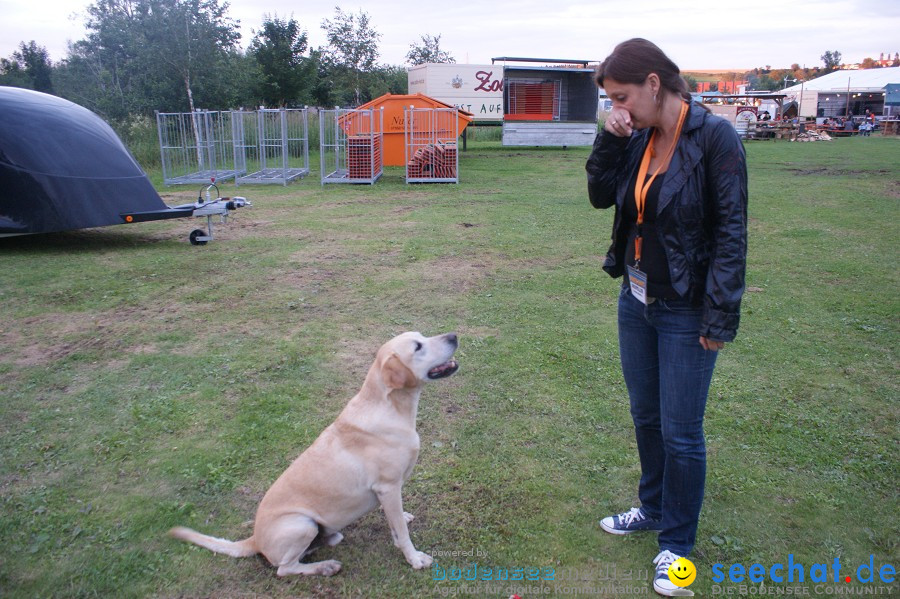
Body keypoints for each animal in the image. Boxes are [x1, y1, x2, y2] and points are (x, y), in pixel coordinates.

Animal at [170, 332, 460, 576]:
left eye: (423, 335)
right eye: (418, 347)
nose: (454, 335)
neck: (389, 407)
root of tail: (254, 539)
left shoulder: (388, 491)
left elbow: (397, 523)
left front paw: (404, 520)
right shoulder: (387, 487)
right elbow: (401, 533)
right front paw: (415, 558)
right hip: (302, 524)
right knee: (284, 569)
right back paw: (325, 567)